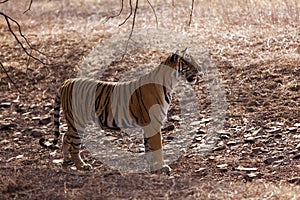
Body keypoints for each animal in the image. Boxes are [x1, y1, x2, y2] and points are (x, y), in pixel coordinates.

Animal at [38, 48, 200, 173]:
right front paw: (162, 167)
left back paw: (66, 160)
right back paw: (82, 166)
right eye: (189, 62)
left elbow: (148, 147)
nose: (200, 70)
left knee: (66, 136)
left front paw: (152, 167)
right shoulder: (153, 123)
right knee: (74, 145)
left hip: (73, 122)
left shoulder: (148, 125)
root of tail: (66, 82)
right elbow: (157, 146)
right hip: (77, 121)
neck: (170, 83)